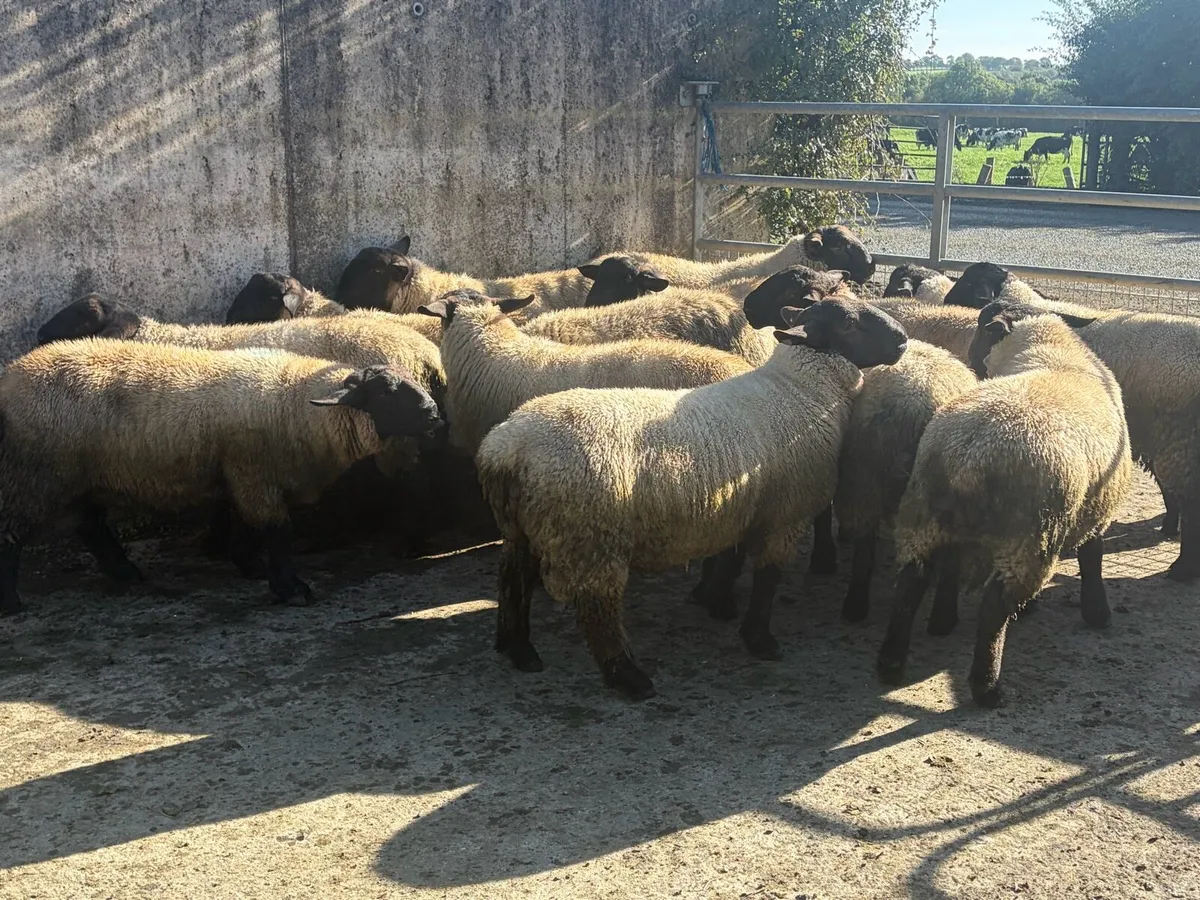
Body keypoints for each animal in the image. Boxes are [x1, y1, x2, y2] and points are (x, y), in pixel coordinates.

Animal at [0, 340, 443, 613]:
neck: (296, 403)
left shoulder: (242, 475)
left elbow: (246, 524)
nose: (435, 414)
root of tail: (10, 377)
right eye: (385, 392)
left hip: (78, 476)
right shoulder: (254, 473)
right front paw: (290, 588)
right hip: (33, 476)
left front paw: (251, 566)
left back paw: (127, 574)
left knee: (91, 526)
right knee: (12, 534)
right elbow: (277, 530)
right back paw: (12, 603)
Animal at [475, 295, 910, 699]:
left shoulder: (740, 507)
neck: (800, 391)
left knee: (512, 581)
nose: (904, 340)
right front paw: (759, 639)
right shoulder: (783, 516)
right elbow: (767, 579)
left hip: (525, 527)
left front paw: (716, 602)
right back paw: (628, 676)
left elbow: (730, 559)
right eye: (849, 324)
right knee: (597, 609)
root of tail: (506, 449)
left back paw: (517, 648)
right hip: (590, 536)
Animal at [836, 340, 977, 623]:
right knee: (936, 564)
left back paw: (855, 606)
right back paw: (943, 618)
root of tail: (913, 409)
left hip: (865, 481)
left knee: (866, 550)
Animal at [877, 311, 1132, 707]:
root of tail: (969, 455)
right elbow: (1093, 556)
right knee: (993, 608)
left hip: (924, 517)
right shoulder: (1094, 508)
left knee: (911, 583)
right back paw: (988, 687)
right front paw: (1097, 614)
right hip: (1029, 536)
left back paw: (894, 661)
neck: (1053, 353)